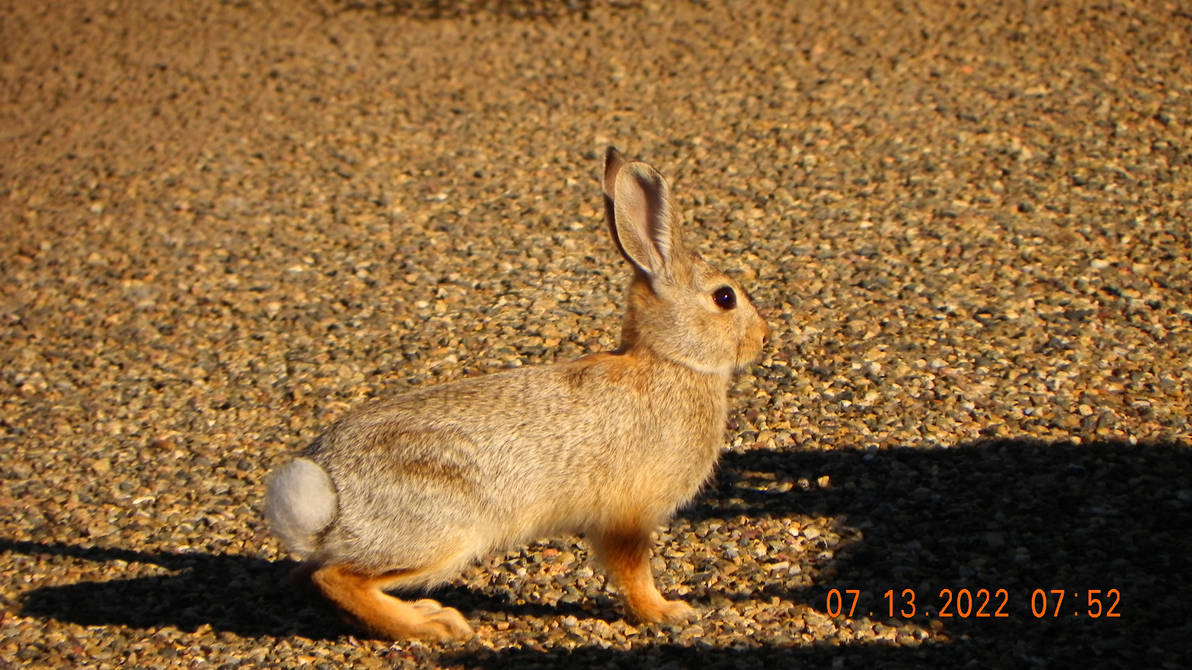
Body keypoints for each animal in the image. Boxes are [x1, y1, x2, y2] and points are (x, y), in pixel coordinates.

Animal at [265, 147, 771, 641]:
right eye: (725, 298)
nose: (763, 337)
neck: (671, 360)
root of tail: (327, 498)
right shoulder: (626, 517)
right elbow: (633, 574)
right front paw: (666, 612)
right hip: (444, 532)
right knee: (336, 578)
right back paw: (436, 626)